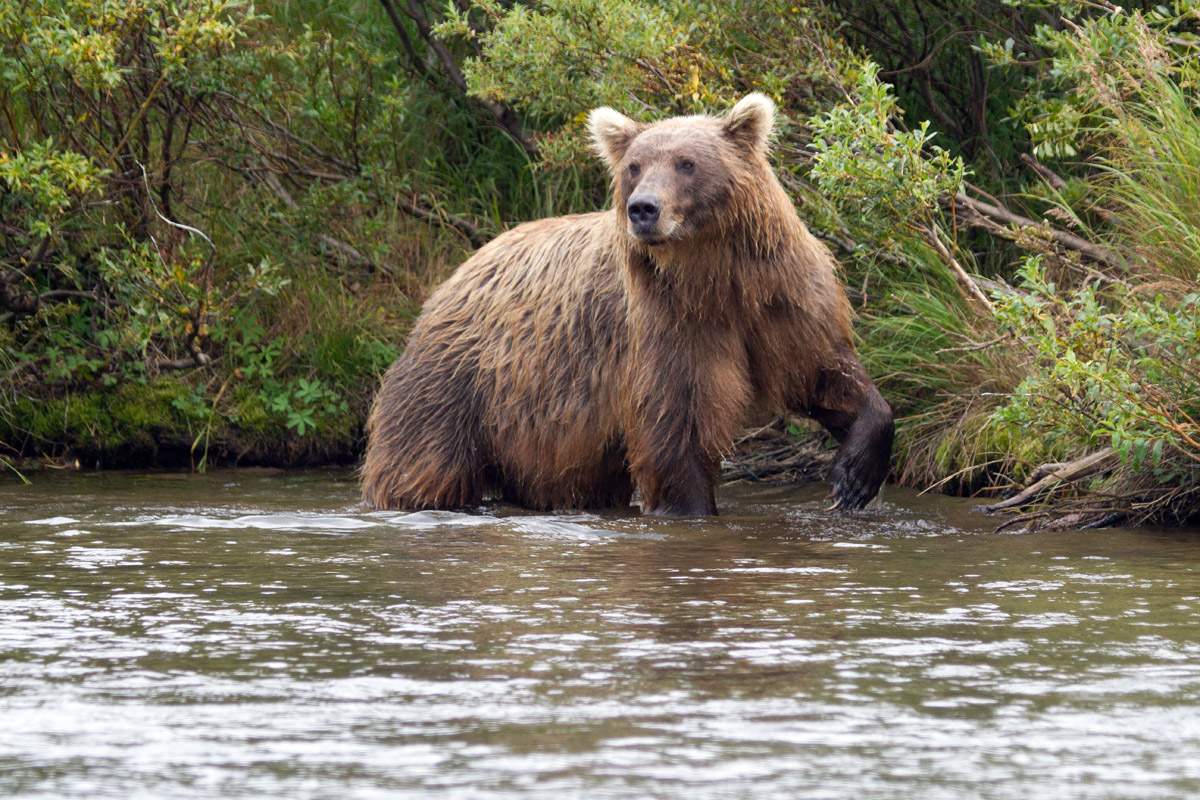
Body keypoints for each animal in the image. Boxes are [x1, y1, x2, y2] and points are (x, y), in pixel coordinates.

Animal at [361, 93, 894, 516]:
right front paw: (691, 508)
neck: (714, 278)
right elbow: (678, 429)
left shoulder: (779, 301)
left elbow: (825, 373)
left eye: (686, 162)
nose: (643, 208)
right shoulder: (666, 326)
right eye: (634, 166)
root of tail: (454, 276)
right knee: (420, 465)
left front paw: (853, 478)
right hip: (459, 387)